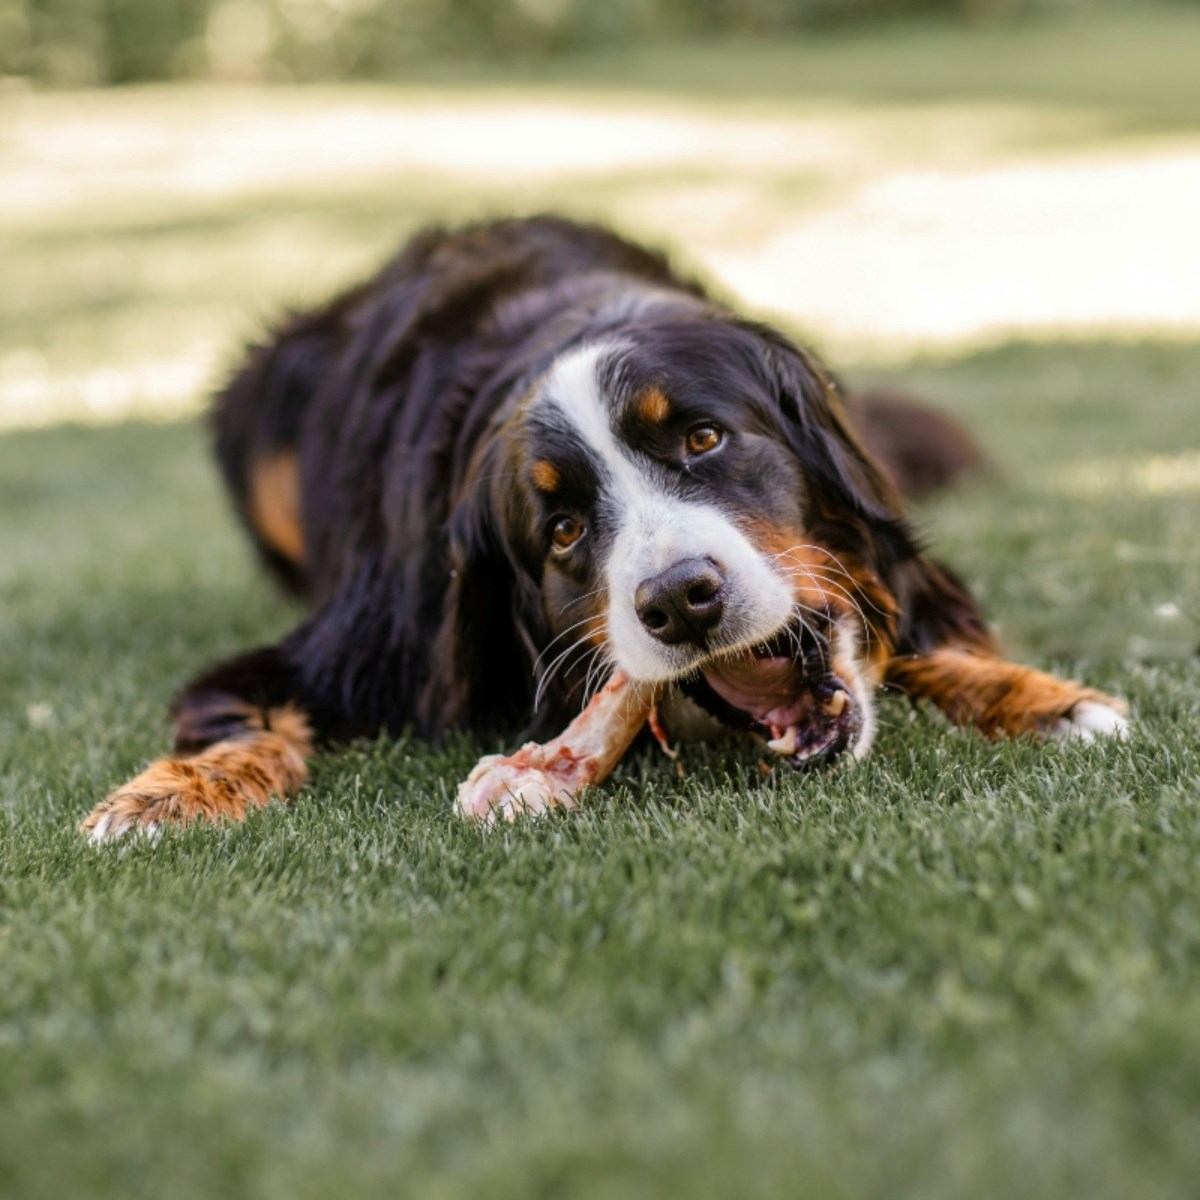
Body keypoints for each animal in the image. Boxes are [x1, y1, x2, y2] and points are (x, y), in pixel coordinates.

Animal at [79, 213, 1128, 835]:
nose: (681, 601)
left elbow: (920, 626)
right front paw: (166, 795)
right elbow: (238, 717)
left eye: (704, 438)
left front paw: (1041, 699)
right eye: (563, 530)